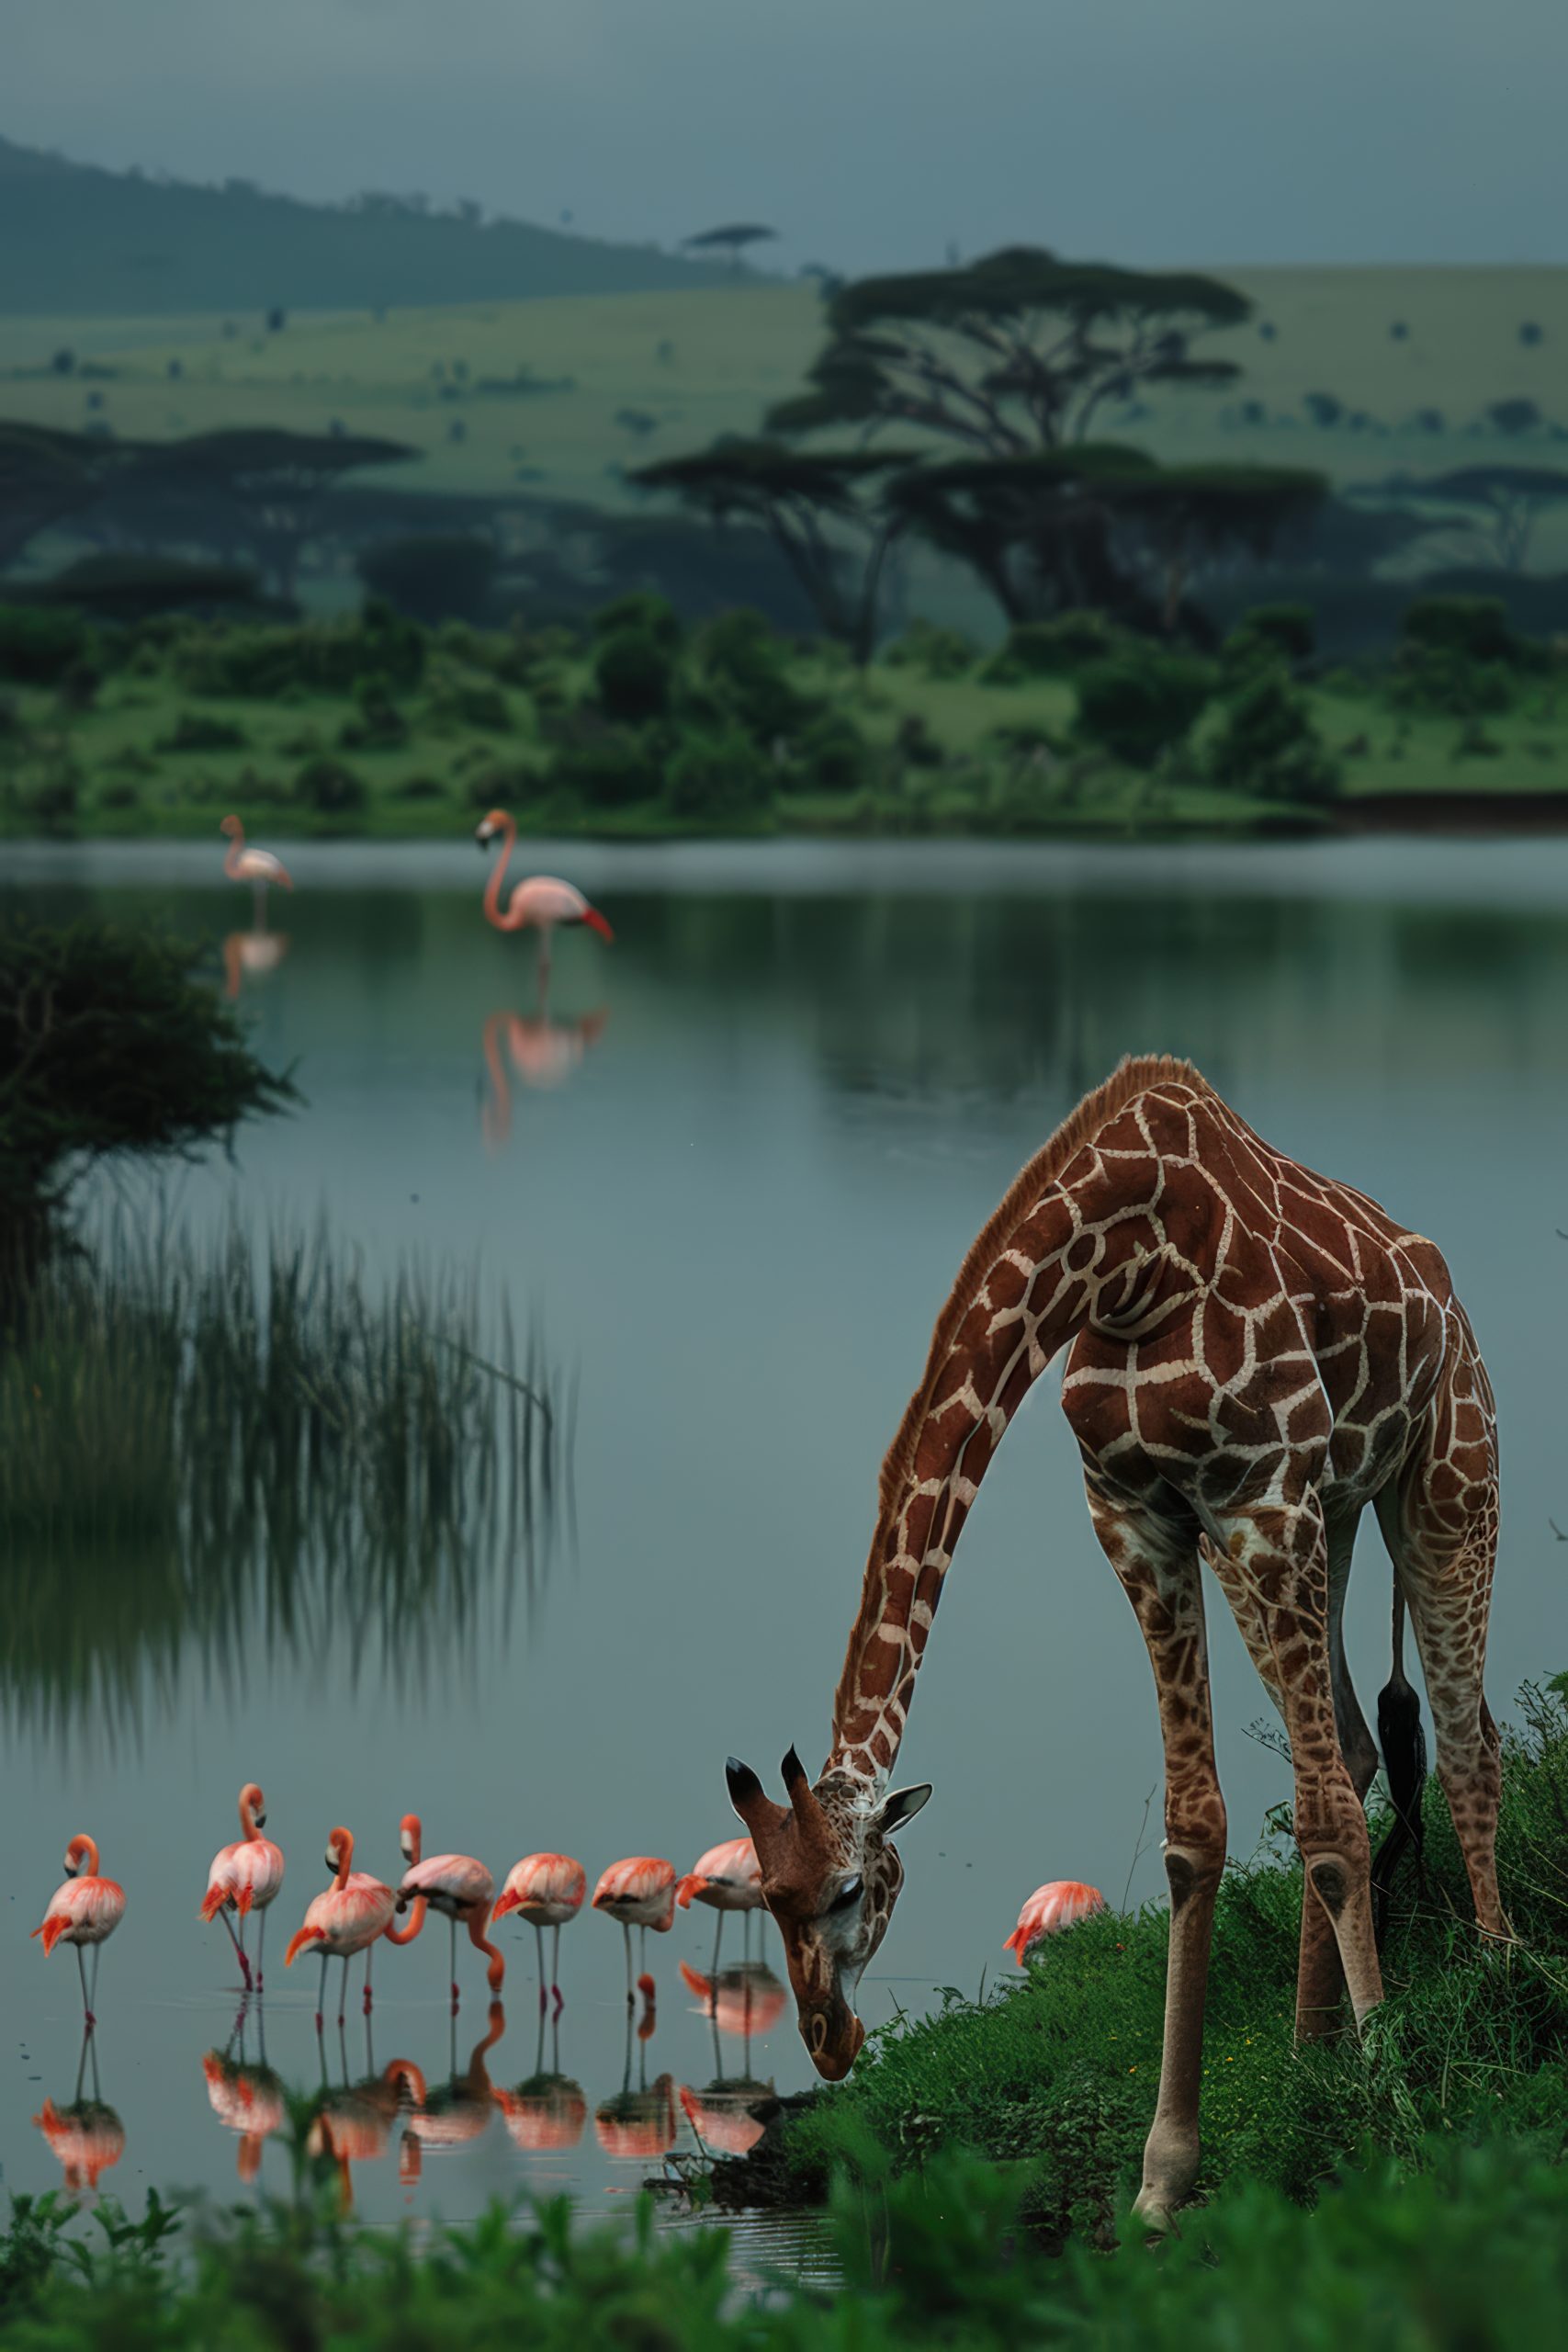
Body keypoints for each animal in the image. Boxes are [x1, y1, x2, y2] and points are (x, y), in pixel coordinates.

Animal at [725, 1054, 1506, 2225]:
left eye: (856, 1887)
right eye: (767, 1897)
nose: (827, 2041)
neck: (1131, 1260)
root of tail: (1447, 1293)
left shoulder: (1257, 1496)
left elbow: (1324, 1817)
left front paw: (1396, 2116)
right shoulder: (1140, 1516)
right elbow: (1197, 1829)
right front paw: (1162, 2178)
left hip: (1444, 1478)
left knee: (1461, 1743)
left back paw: (1503, 1987)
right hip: (1323, 1518)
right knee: (1364, 1745)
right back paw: (1308, 2050)